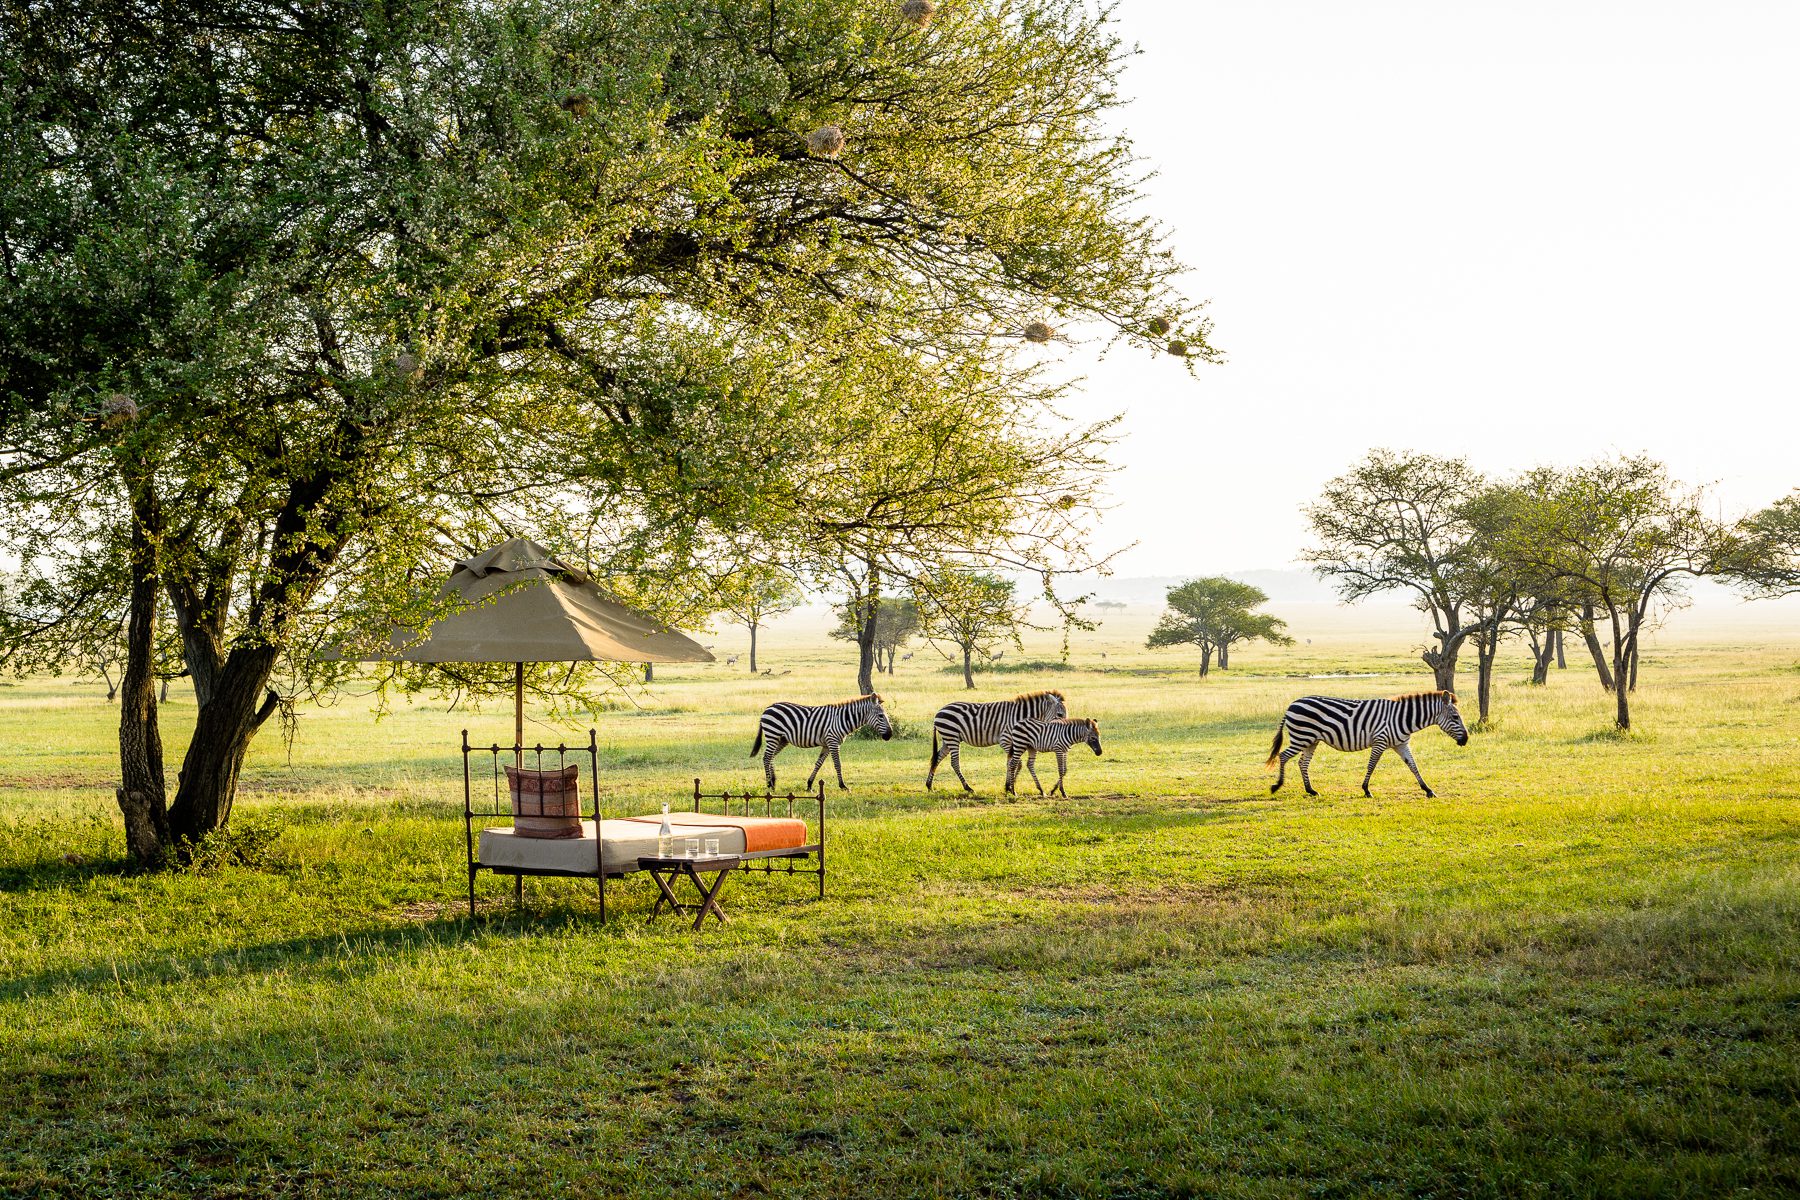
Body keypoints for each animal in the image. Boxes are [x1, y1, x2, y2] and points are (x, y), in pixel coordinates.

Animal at [751, 694, 893, 790]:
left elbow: (818, 764)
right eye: (881, 716)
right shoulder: (833, 742)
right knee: (766, 757)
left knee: (771, 757)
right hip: (773, 735)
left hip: (782, 739)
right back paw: (769, 784)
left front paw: (809, 784)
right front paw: (843, 785)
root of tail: (768, 708)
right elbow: (838, 764)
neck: (842, 719)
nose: (890, 735)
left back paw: (773, 782)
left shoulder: (827, 744)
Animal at [926, 690, 1067, 792]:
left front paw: (1008, 785)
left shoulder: (1013, 742)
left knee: (937, 758)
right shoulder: (1006, 740)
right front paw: (1010, 786)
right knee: (954, 762)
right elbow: (1016, 762)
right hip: (952, 737)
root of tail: (939, 712)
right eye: (1060, 715)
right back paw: (968, 787)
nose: (1064, 730)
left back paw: (929, 785)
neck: (1019, 717)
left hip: (948, 739)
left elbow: (1010, 762)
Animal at [1266, 691, 1468, 798]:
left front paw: (1428, 790)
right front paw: (1366, 790)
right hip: (1302, 737)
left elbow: (1413, 766)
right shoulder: (1380, 741)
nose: (1465, 740)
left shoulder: (1401, 744)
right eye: (1455, 717)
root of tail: (1292, 704)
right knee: (1283, 756)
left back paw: (1310, 790)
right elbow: (1371, 765)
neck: (1403, 719)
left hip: (1311, 740)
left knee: (1303, 763)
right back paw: (1277, 785)